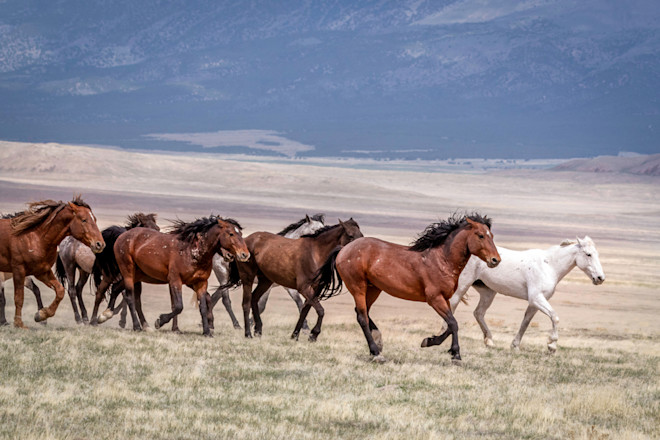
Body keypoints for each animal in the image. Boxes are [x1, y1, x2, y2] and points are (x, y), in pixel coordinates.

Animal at [0, 197, 105, 328]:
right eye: (84, 220)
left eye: (94, 219)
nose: (100, 244)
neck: (35, 238)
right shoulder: (18, 270)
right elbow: (19, 297)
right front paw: (19, 323)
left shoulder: (41, 271)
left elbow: (60, 291)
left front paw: (41, 315)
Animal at [113, 216, 250, 336]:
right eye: (231, 234)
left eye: (241, 234)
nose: (245, 254)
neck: (192, 252)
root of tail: (123, 236)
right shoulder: (175, 280)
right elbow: (178, 306)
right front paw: (160, 321)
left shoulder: (200, 283)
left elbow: (203, 306)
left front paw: (206, 332)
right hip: (128, 272)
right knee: (129, 297)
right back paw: (137, 326)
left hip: (138, 274)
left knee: (118, 289)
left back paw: (108, 314)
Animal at [230, 218, 363, 340]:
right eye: (350, 235)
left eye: (361, 235)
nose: (357, 252)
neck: (315, 253)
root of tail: (245, 242)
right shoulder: (304, 288)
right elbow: (320, 310)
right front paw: (314, 334)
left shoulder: (315, 289)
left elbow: (304, 310)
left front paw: (295, 335)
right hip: (248, 278)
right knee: (246, 303)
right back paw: (248, 333)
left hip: (266, 281)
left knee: (254, 299)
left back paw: (258, 330)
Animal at [314, 213, 500, 362]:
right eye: (481, 235)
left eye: (492, 235)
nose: (495, 260)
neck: (442, 260)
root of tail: (343, 249)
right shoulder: (435, 299)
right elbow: (453, 323)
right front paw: (455, 354)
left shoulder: (445, 299)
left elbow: (449, 324)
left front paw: (430, 341)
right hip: (358, 286)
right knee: (362, 317)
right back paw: (376, 353)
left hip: (373, 288)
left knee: (363, 312)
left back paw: (378, 342)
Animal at [448, 236, 605, 352]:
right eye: (588, 254)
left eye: (597, 254)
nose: (600, 278)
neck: (549, 266)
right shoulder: (536, 299)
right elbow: (555, 317)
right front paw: (552, 345)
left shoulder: (535, 303)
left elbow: (526, 322)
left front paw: (515, 345)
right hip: (462, 286)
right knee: (453, 306)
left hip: (488, 292)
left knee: (478, 313)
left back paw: (490, 342)